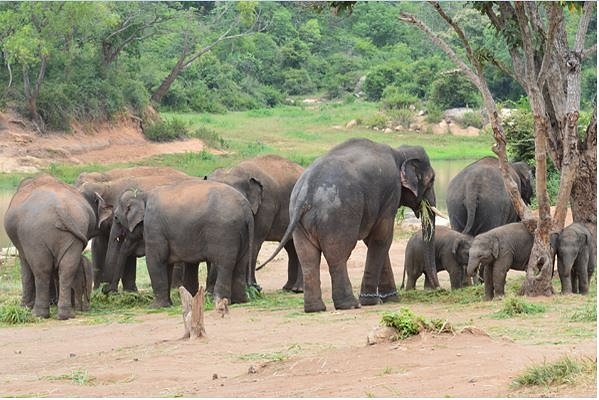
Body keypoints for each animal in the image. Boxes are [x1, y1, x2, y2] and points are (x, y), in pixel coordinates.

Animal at [3, 175, 98, 318]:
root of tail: (60, 207)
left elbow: (25, 266)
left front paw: (24, 307)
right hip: (74, 232)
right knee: (67, 268)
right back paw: (66, 314)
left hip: (34, 236)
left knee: (41, 270)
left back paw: (39, 313)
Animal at [106, 177, 255, 306]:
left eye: (116, 218)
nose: (109, 293)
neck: (142, 195)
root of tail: (246, 209)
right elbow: (166, 263)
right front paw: (167, 304)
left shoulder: (154, 227)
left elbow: (156, 260)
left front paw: (155, 306)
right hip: (242, 234)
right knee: (240, 264)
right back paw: (240, 301)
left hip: (224, 233)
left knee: (224, 264)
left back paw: (219, 302)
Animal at [210, 155, 304, 292]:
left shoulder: (266, 204)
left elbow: (254, 242)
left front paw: (253, 288)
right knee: (290, 248)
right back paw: (288, 288)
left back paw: (298, 289)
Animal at [260, 138, 438, 312]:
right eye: (432, 180)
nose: (438, 289)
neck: (399, 152)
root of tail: (305, 196)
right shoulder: (390, 192)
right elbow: (382, 238)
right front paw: (374, 302)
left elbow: (373, 240)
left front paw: (390, 299)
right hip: (338, 216)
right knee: (337, 255)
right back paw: (350, 305)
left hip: (300, 223)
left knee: (308, 257)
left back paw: (315, 309)